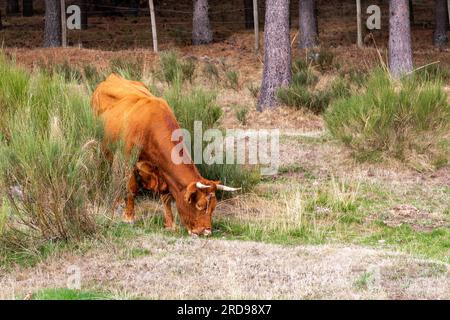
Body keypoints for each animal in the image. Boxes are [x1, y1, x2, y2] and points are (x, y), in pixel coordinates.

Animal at [91, 74, 239, 235]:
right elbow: (131, 188)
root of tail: (112, 76)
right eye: (199, 205)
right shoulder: (128, 160)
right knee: (102, 170)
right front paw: (128, 217)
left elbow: (166, 197)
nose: (206, 231)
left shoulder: (163, 171)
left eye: (213, 207)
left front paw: (170, 224)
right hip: (102, 148)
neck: (150, 127)